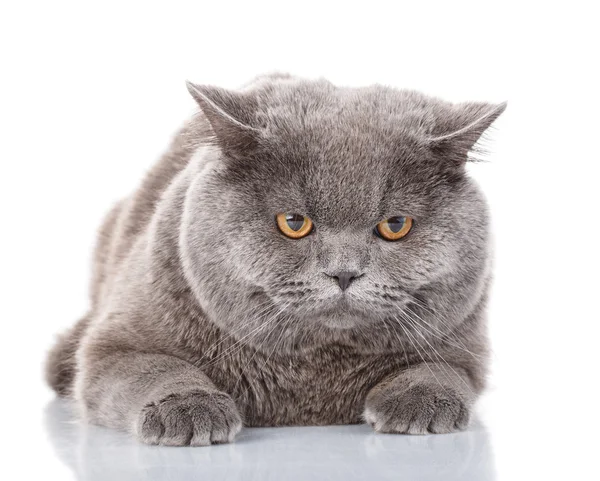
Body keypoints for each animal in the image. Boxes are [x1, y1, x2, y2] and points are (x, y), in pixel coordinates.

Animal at [47, 73, 504, 444]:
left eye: (395, 225)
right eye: (294, 222)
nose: (344, 273)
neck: (315, 374)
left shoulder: (465, 342)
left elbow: (441, 370)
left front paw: (419, 400)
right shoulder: (114, 345)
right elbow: (154, 368)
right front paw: (188, 407)